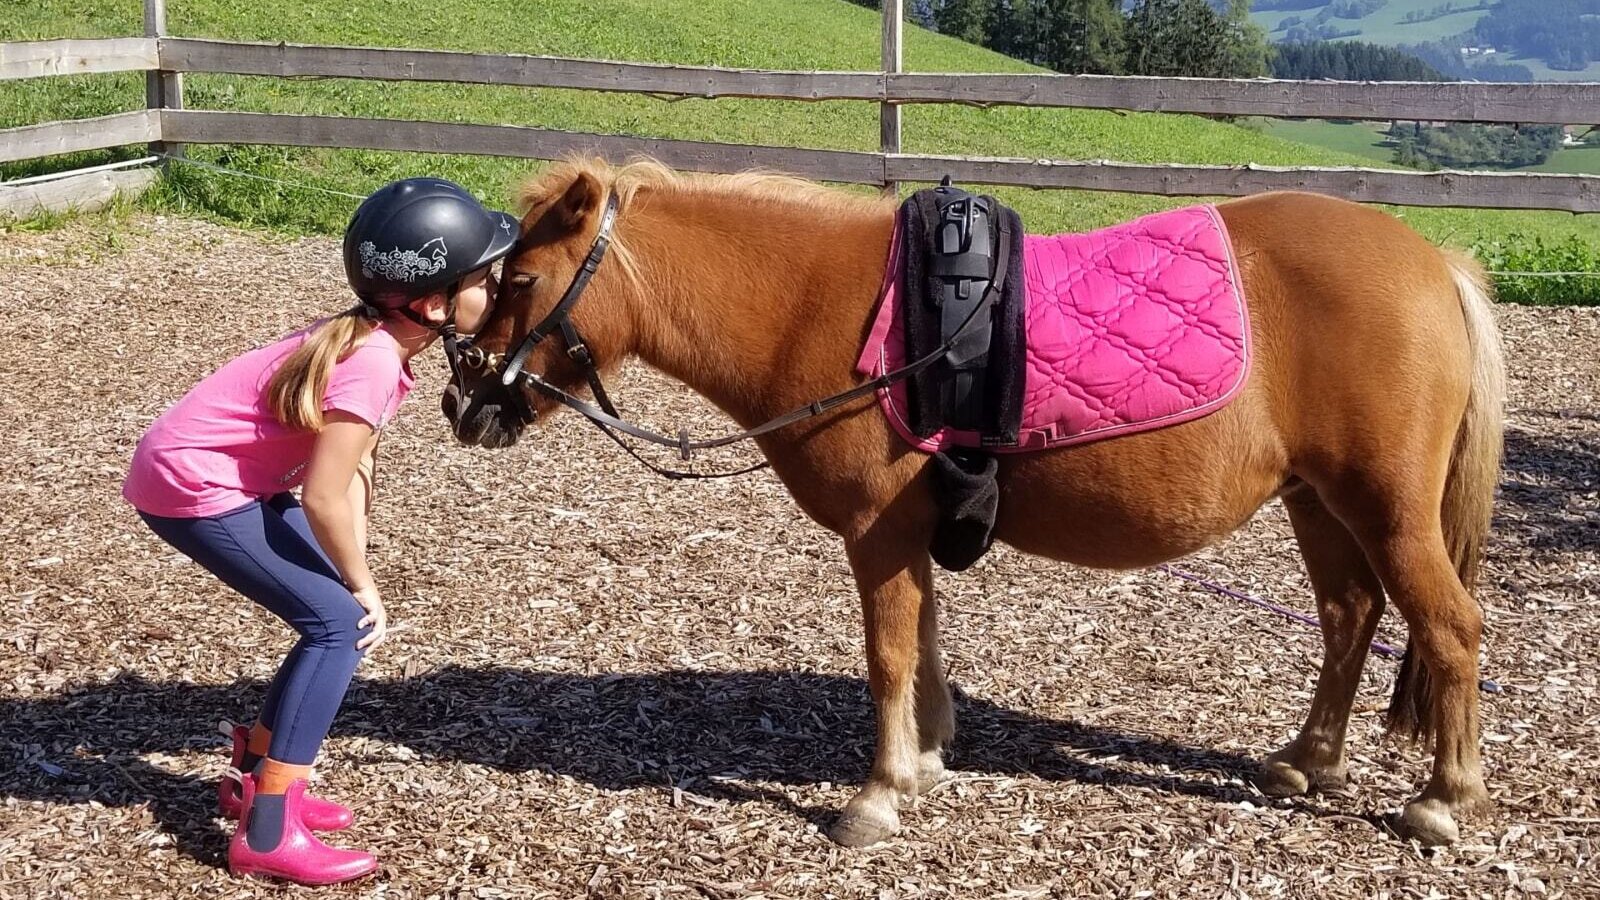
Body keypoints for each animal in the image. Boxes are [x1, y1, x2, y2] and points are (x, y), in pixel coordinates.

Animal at [440, 158, 1505, 848]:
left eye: (521, 278)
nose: (463, 399)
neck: (826, 310)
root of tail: (1435, 264)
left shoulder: (876, 532)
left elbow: (887, 657)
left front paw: (876, 796)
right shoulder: (910, 530)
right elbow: (924, 644)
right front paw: (924, 758)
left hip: (1386, 509)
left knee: (1448, 627)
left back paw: (1445, 800)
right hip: (1318, 502)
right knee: (1350, 616)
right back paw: (1308, 758)